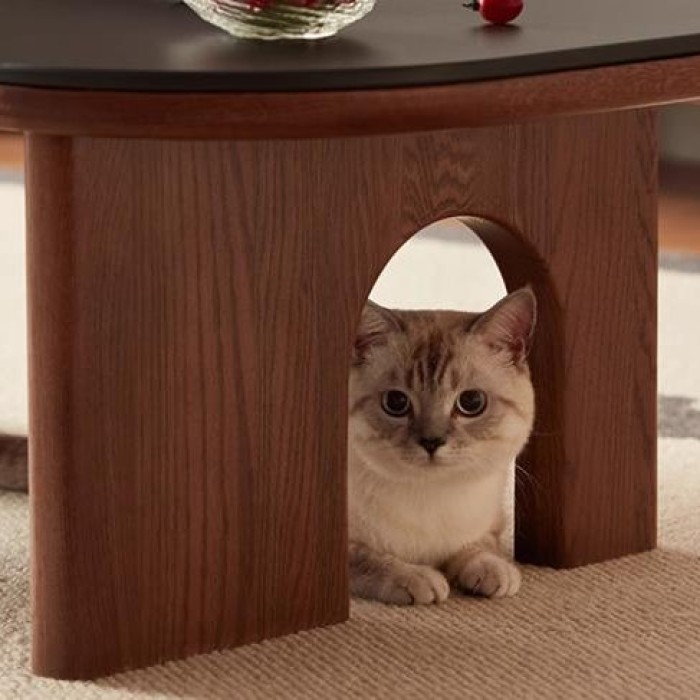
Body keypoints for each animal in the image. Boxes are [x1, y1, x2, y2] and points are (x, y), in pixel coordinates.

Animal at [348, 287, 536, 605]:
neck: (430, 494)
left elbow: (478, 546)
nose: (431, 442)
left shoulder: (490, 524)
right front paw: (418, 577)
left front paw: (494, 571)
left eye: (471, 402)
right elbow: (371, 559)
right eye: (396, 403)